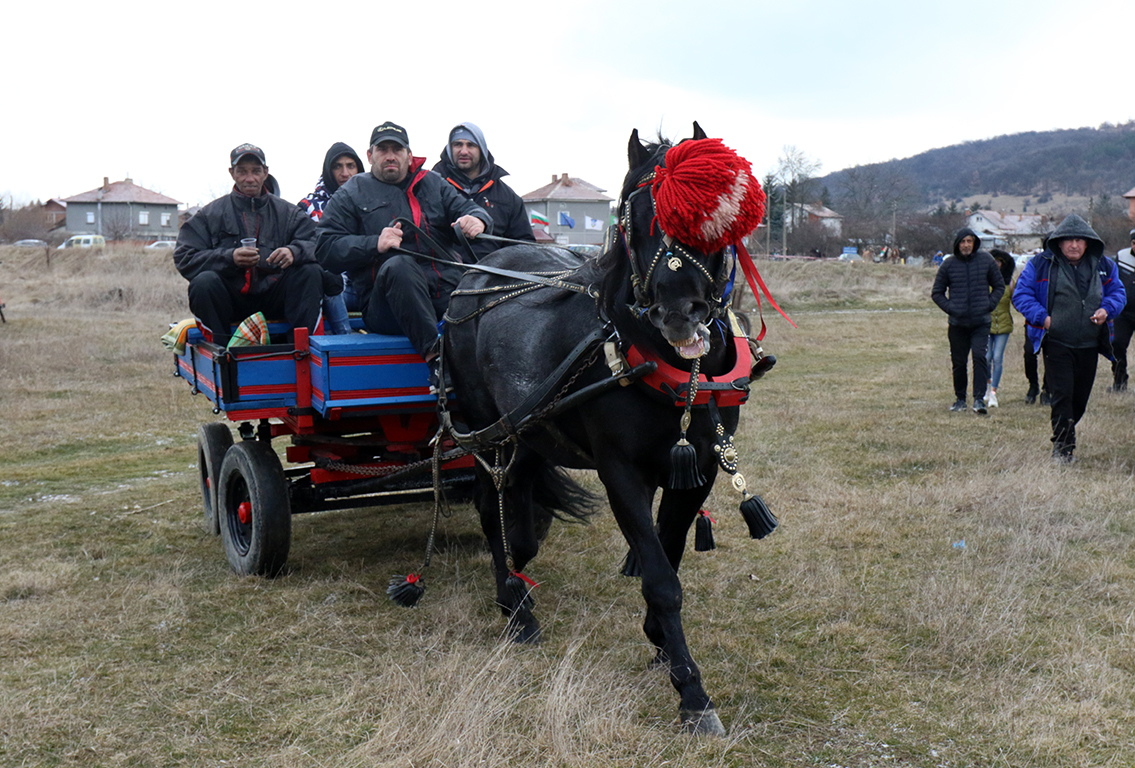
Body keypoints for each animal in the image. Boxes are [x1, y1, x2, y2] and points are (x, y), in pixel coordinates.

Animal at [438, 123, 767, 735]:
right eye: (634, 213)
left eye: (709, 212)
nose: (678, 311)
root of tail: (476, 273)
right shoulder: (620, 473)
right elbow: (661, 577)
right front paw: (692, 693)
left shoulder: (698, 469)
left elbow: (669, 553)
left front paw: (661, 643)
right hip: (486, 430)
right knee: (491, 510)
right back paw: (515, 610)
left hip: (527, 432)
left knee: (518, 514)